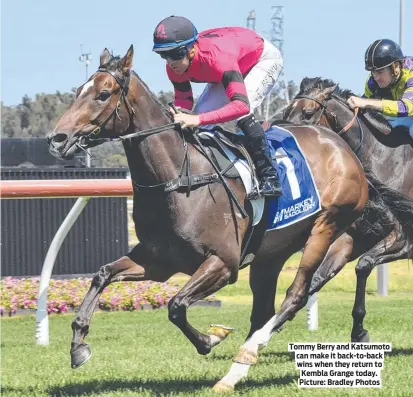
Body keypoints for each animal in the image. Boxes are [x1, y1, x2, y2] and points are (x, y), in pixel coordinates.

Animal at [46, 47, 368, 390]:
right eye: (77, 92)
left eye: (103, 94)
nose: (57, 138)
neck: (178, 178)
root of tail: (339, 144)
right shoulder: (158, 262)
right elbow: (103, 274)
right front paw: (78, 344)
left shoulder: (222, 264)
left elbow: (175, 306)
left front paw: (210, 339)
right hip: (271, 253)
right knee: (264, 309)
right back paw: (241, 365)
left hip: (326, 226)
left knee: (294, 296)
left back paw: (241, 362)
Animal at [282, 77, 412, 344]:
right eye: (286, 112)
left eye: (308, 113)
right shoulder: (351, 238)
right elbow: (318, 278)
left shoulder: (404, 240)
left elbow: (363, 265)